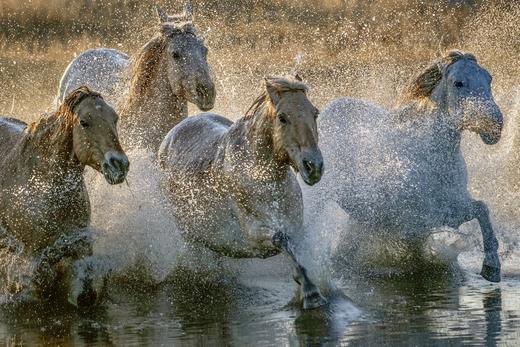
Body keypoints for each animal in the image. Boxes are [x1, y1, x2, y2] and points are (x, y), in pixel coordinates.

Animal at [0, 86, 129, 304]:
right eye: (84, 122)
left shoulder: (80, 247)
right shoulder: (34, 256)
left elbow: (87, 294)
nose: (119, 164)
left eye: (115, 118)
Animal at [312, 49, 504, 282]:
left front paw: (491, 267)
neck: (431, 161)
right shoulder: (414, 219)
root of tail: (333, 107)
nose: (494, 126)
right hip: (321, 195)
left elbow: (481, 209)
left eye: (489, 79)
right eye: (458, 83)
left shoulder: (452, 206)